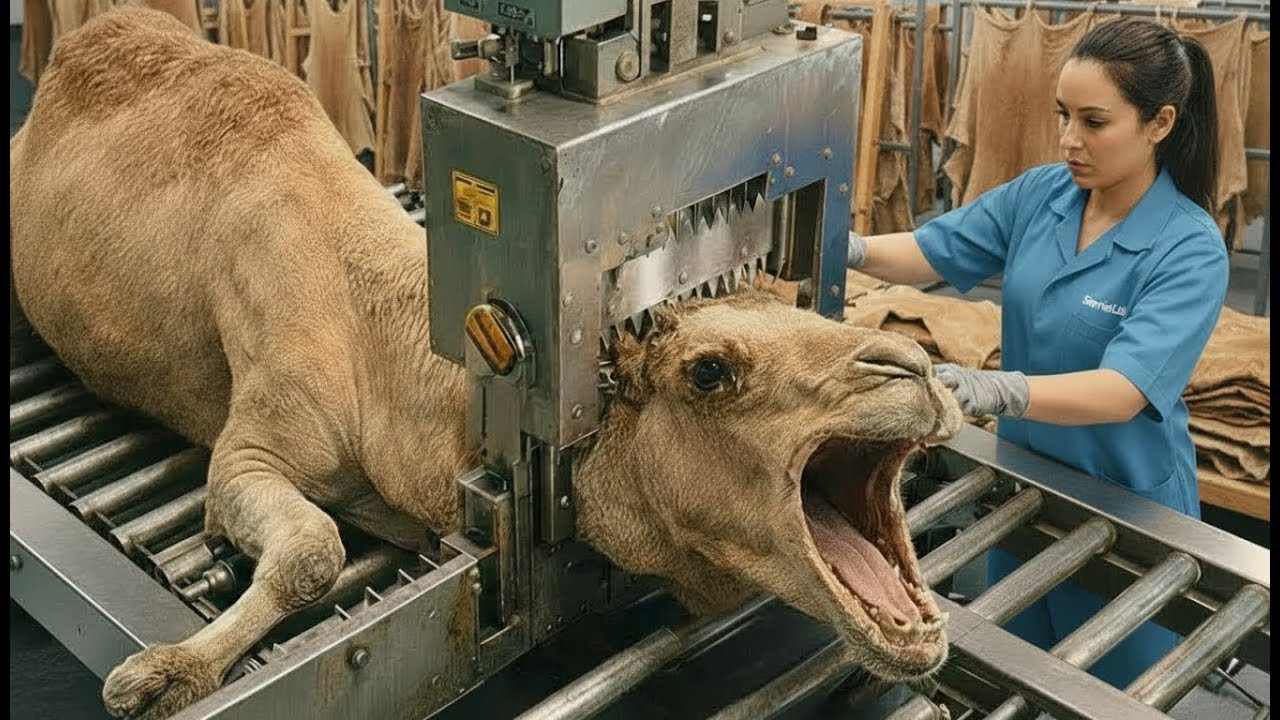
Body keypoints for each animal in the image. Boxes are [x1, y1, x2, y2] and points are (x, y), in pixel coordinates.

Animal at [9, 9, 964, 719]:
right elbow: (313, 550)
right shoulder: (257, 437)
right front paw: (160, 677)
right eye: (708, 371)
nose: (912, 369)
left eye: (788, 298)